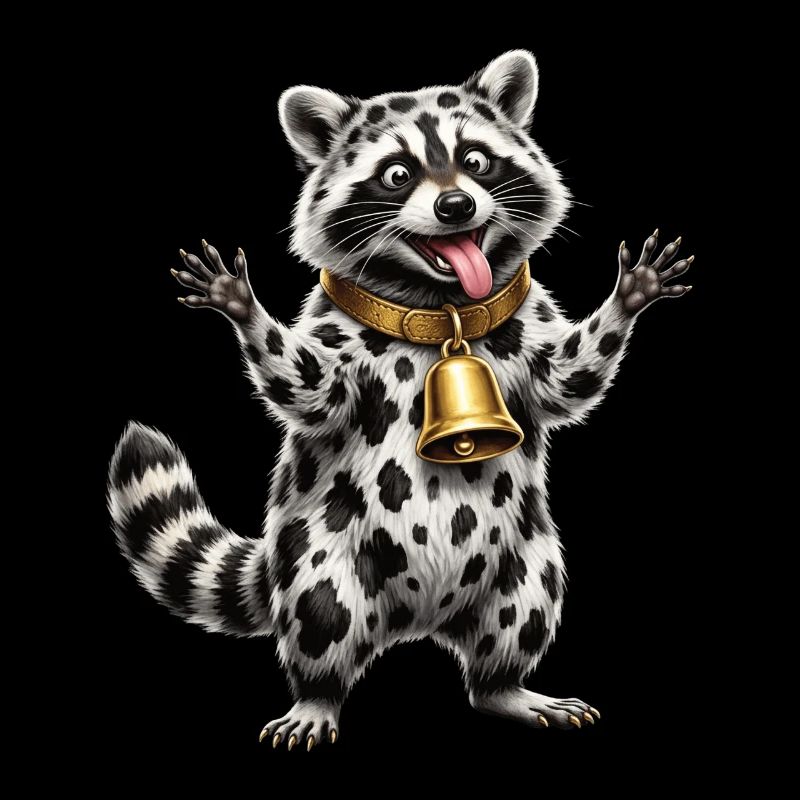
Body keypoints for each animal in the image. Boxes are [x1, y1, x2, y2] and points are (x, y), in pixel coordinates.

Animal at [108, 50, 693, 750]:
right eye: (396, 174)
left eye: (476, 161)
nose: (455, 205)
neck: (444, 312)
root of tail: (421, 620)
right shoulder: (334, 353)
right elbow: (310, 391)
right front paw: (243, 308)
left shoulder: (529, 333)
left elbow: (569, 377)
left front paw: (630, 298)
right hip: (321, 558)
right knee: (321, 618)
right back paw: (318, 696)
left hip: (526, 563)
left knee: (519, 616)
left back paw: (506, 687)